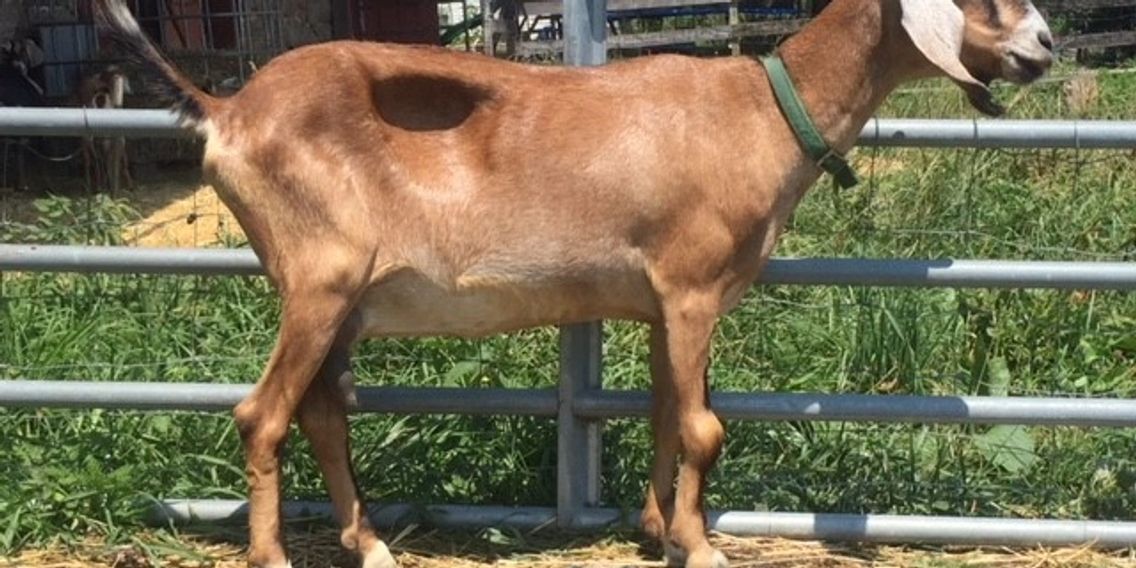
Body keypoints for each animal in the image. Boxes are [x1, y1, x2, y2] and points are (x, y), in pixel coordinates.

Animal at [93, 0, 1053, 566]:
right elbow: (705, 427)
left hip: (342, 300)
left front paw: (660, 530)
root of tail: (226, 110)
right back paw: (276, 555)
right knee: (262, 413)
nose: (1044, 44)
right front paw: (701, 548)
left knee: (323, 411)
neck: (765, 111)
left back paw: (369, 545)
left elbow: (667, 410)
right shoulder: (693, 286)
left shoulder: (664, 300)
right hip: (319, 276)